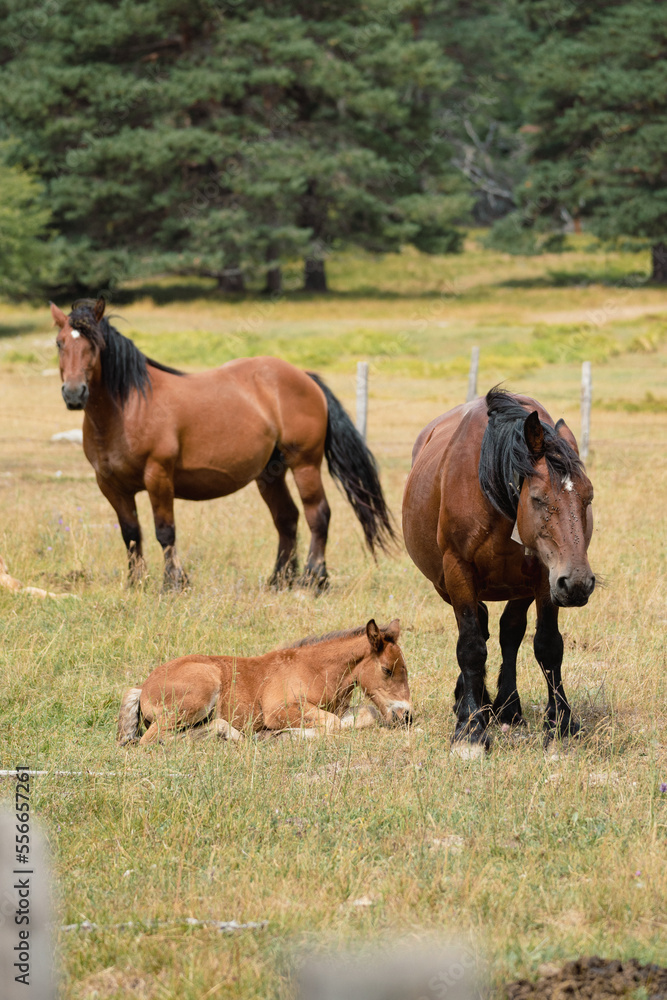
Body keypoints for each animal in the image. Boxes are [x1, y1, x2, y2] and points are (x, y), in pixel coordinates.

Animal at [53, 298, 396, 592]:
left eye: (95, 344)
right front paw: (136, 583)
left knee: (318, 514)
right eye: (59, 343)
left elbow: (165, 531)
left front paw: (174, 582)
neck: (128, 409)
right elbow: (131, 535)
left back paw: (315, 579)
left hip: (305, 464)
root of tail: (305, 378)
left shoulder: (158, 476)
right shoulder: (111, 486)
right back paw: (279, 580)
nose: (74, 393)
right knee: (287, 518)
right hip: (270, 474)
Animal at [118, 616, 412, 744]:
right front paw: (286, 734)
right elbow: (332, 724)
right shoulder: (278, 710)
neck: (316, 670)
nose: (406, 716)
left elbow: (364, 714)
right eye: (387, 669)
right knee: (153, 739)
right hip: (199, 694)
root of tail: (143, 687)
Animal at [402, 386, 596, 752]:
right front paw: (470, 729)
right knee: (481, 627)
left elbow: (548, 646)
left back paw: (508, 706)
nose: (578, 583)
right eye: (538, 498)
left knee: (509, 632)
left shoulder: (544, 578)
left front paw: (561, 723)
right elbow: (471, 646)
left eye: (588, 497)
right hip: (445, 584)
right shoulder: (457, 570)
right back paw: (473, 701)